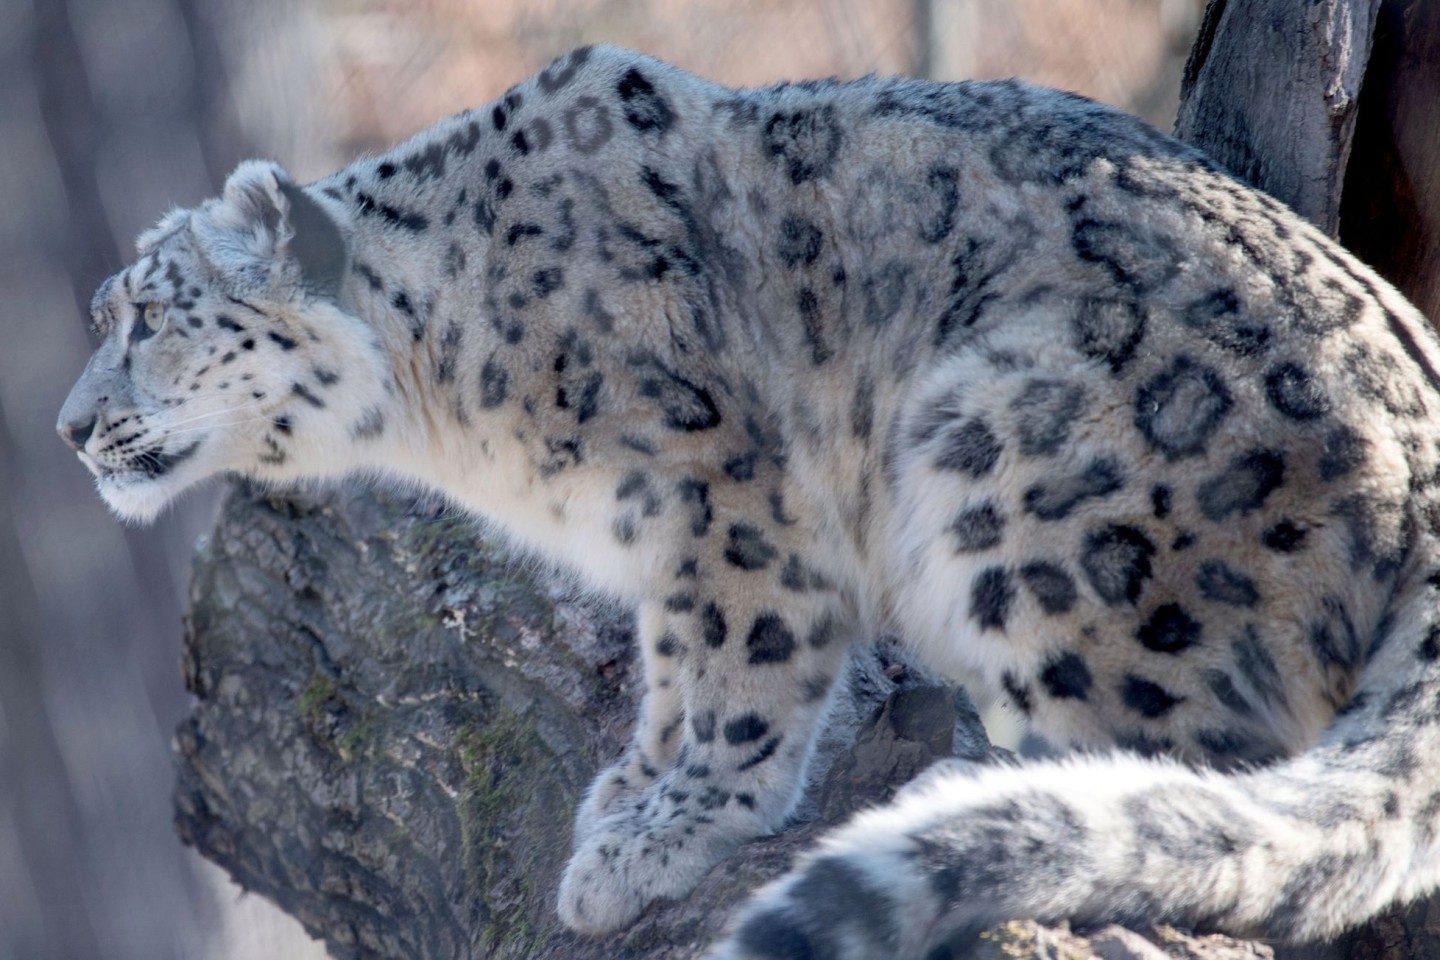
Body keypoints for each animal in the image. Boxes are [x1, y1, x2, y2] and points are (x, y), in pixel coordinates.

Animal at [59, 43, 1440, 955]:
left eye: (145, 316)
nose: (71, 429)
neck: (453, 403)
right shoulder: (662, 543)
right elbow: (670, 660)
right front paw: (631, 785)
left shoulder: (730, 496)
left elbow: (740, 664)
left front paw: (660, 837)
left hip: (1016, 466)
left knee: (1190, 754)